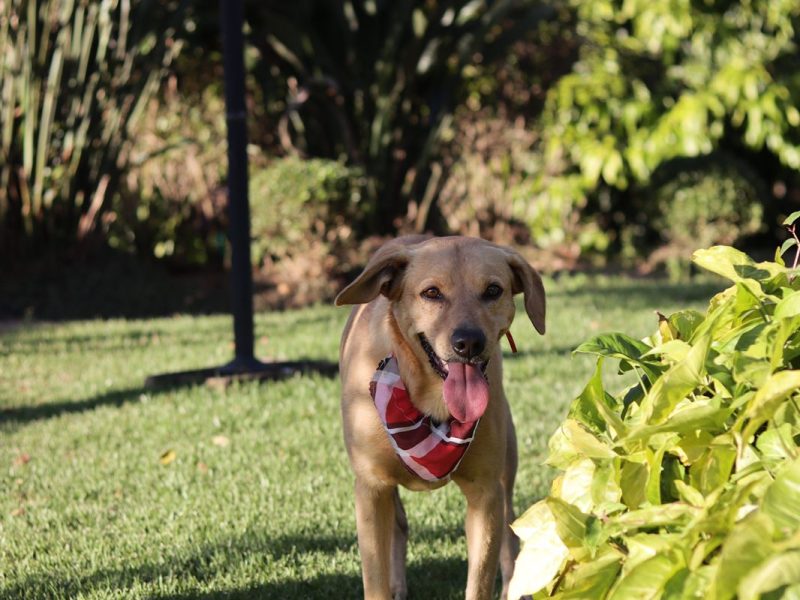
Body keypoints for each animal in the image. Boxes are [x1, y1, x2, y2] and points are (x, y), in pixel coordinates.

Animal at [334, 236, 548, 600]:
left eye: (493, 290)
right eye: (432, 293)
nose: (469, 342)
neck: (431, 403)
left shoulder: (485, 494)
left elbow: (480, 580)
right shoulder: (371, 489)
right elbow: (375, 579)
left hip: (505, 473)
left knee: (509, 535)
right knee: (399, 524)